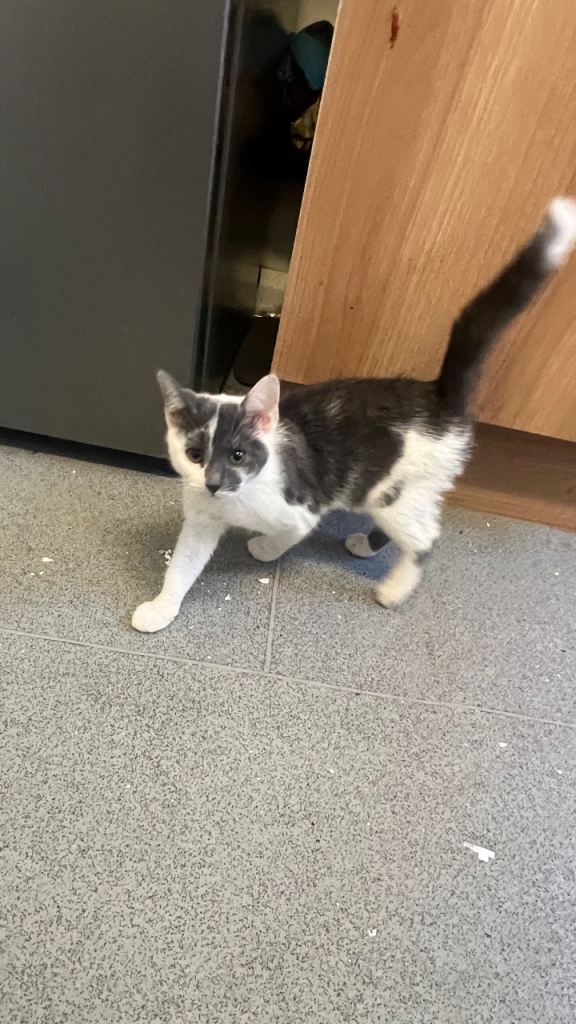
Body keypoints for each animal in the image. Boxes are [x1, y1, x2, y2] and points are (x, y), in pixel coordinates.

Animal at [132, 197, 576, 633]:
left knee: (426, 538)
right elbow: (184, 564)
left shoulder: (301, 508)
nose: (213, 483)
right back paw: (366, 545)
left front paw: (264, 548)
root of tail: (436, 395)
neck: (238, 499)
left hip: (390, 491)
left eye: (238, 455)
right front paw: (161, 607)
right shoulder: (202, 518)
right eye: (194, 455)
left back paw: (394, 588)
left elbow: (289, 534)